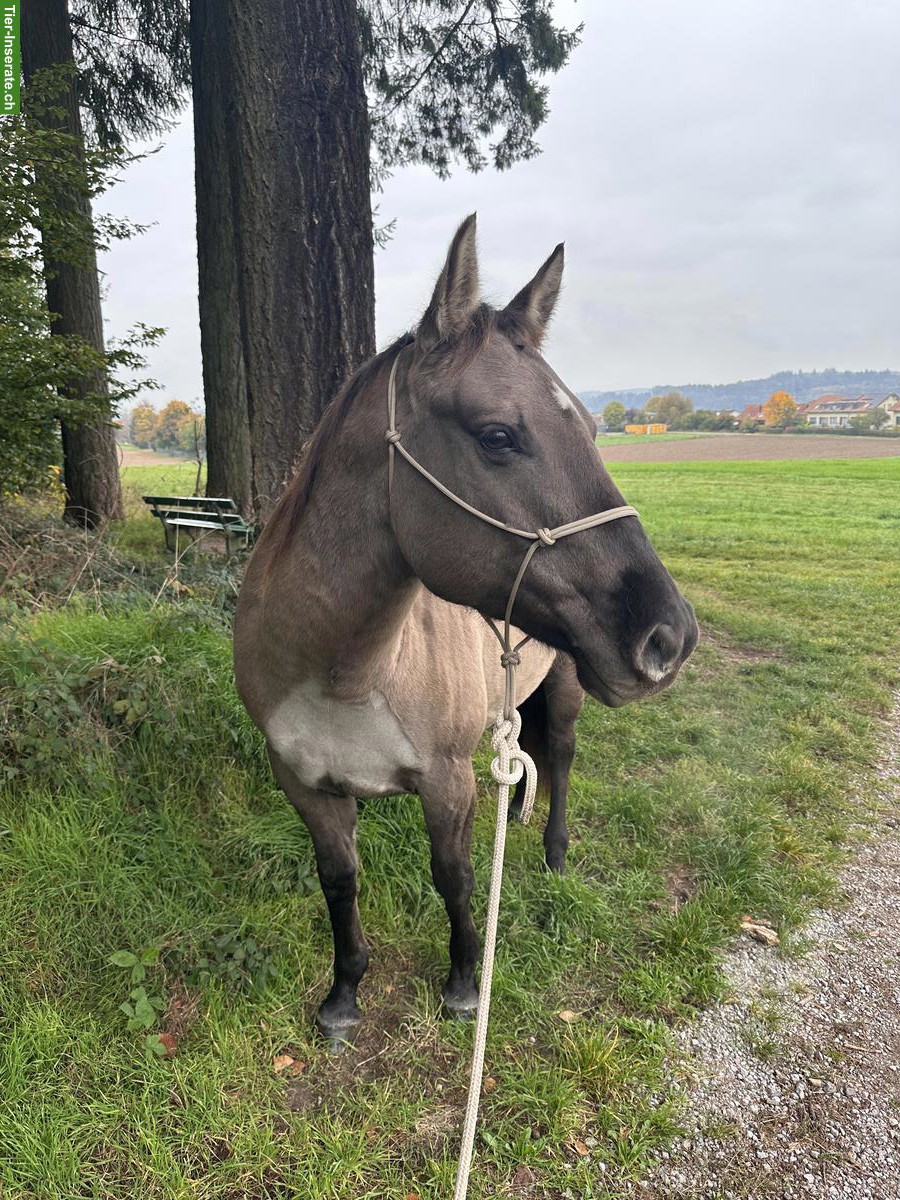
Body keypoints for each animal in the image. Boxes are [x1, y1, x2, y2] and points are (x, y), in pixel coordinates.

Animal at [234, 215, 698, 1043]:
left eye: (591, 428)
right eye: (498, 436)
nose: (668, 638)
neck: (347, 671)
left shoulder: (446, 780)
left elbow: (451, 877)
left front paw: (462, 983)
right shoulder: (305, 784)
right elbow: (339, 882)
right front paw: (344, 993)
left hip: (568, 689)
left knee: (563, 762)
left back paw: (551, 855)